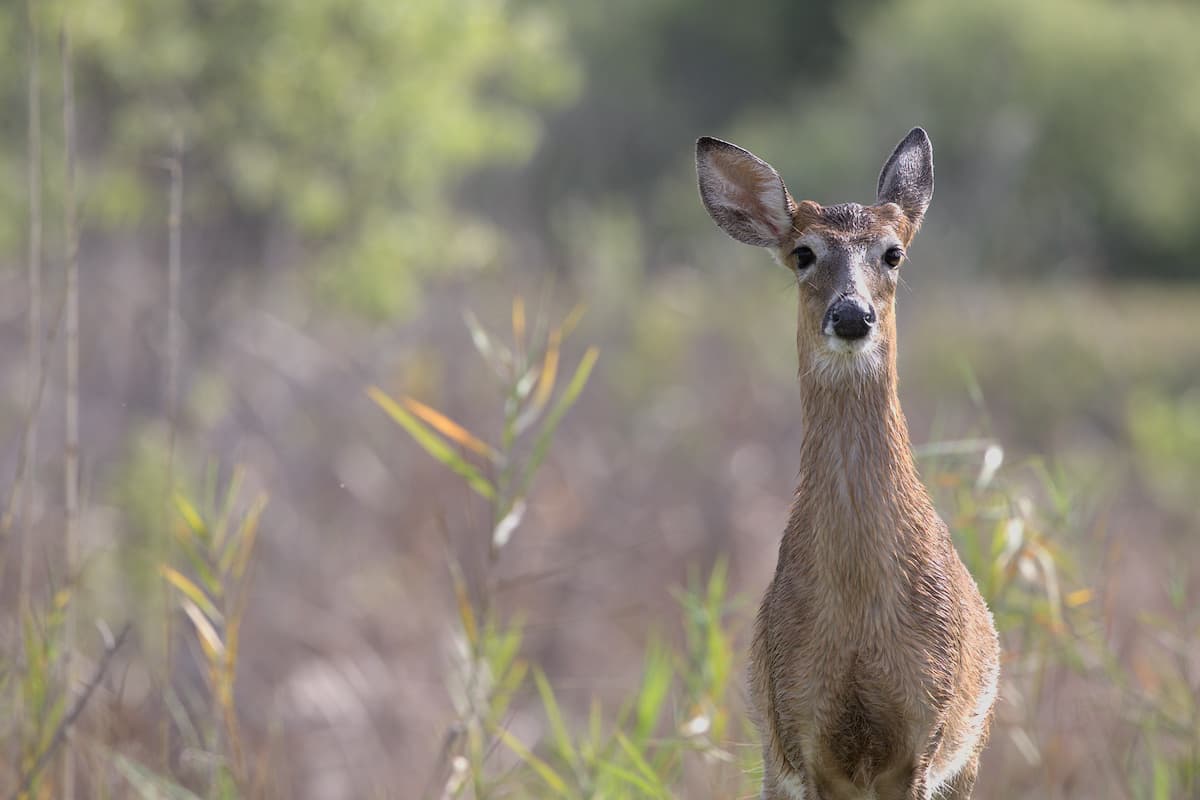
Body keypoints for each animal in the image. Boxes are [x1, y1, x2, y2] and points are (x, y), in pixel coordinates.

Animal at [696, 128, 1003, 796]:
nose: (851, 314)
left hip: (970, 752)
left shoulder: (927, 726)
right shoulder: (797, 725)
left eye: (893, 254)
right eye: (803, 253)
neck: (859, 611)